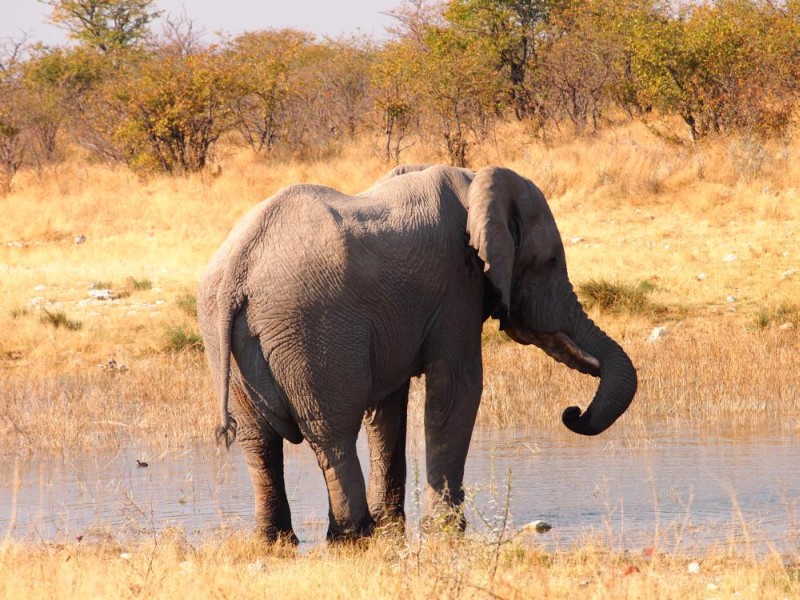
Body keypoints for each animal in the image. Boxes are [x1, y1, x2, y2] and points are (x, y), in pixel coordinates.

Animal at [197, 164, 637, 543]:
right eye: (549, 262)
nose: (572, 412)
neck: (475, 182)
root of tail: (238, 266)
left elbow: (388, 409)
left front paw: (397, 526)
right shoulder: (458, 285)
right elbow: (457, 390)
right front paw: (446, 531)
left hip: (228, 341)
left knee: (259, 442)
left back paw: (278, 540)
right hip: (311, 329)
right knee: (332, 433)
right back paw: (354, 535)